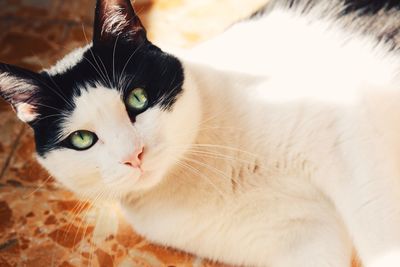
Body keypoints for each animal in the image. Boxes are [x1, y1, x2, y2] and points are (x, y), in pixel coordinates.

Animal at [0, 0, 400, 266]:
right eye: (82, 139)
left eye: (137, 99)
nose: (133, 156)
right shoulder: (302, 237)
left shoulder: (350, 129)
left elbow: (378, 229)